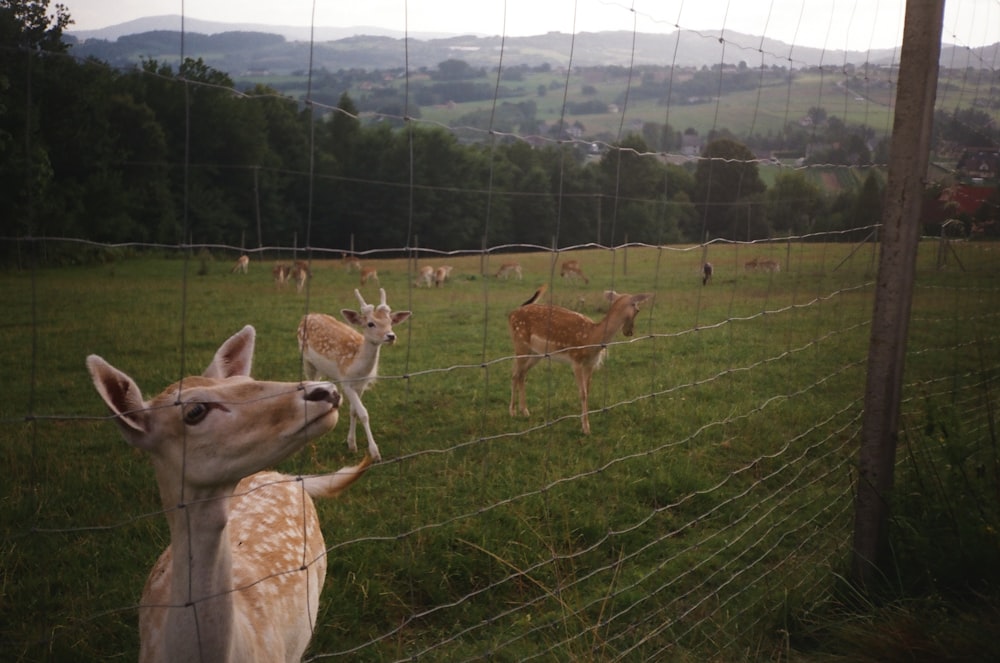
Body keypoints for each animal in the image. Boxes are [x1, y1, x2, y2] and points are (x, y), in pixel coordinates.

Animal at [296, 288, 410, 464]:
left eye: (390, 321)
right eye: (370, 323)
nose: (391, 336)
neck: (357, 367)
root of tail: (307, 316)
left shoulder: (361, 384)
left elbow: (354, 411)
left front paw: (352, 445)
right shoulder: (346, 382)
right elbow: (363, 413)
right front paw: (375, 453)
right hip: (307, 362)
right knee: (310, 380)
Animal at [508, 286, 656, 436]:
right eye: (638, 309)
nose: (629, 332)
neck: (592, 338)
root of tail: (512, 313)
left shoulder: (590, 364)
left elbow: (587, 391)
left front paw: (585, 423)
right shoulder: (576, 361)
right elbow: (583, 393)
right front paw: (586, 428)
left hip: (537, 353)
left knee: (522, 374)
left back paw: (525, 411)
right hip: (520, 343)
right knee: (515, 374)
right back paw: (512, 412)